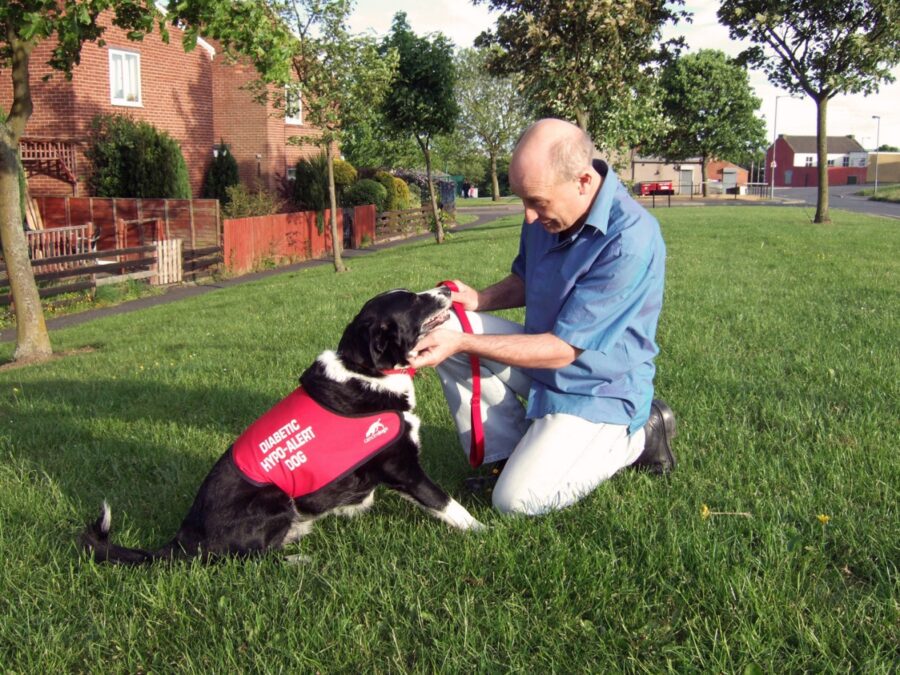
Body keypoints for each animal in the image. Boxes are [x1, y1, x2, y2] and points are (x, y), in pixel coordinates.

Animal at [81, 290, 482, 564]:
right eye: (413, 301)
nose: (445, 288)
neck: (366, 373)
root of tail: (185, 538)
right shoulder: (402, 468)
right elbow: (447, 504)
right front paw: (485, 532)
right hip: (275, 497)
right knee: (250, 559)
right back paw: (296, 556)